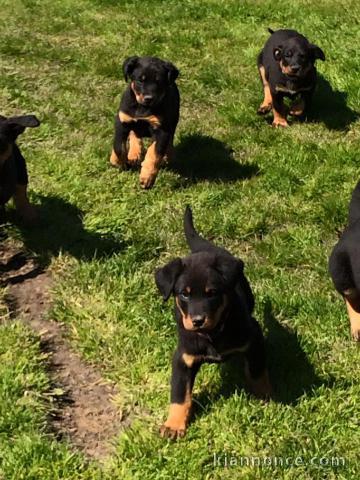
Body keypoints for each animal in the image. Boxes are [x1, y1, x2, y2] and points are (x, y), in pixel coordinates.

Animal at [108, 56, 179, 189]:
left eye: (159, 82)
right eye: (140, 80)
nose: (148, 98)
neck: (143, 107)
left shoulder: (162, 129)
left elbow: (154, 154)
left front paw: (147, 178)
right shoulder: (122, 120)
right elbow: (118, 147)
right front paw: (119, 162)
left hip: (173, 119)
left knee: (170, 140)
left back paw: (168, 156)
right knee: (134, 134)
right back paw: (133, 153)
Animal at [155, 206, 270, 438]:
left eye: (212, 293)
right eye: (184, 294)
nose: (198, 321)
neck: (213, 333)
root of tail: (204, 247)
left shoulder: (254, 336)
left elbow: (257, 369)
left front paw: (264, 394)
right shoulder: (183, 357)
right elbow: (179, 394)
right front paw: (173, 425)